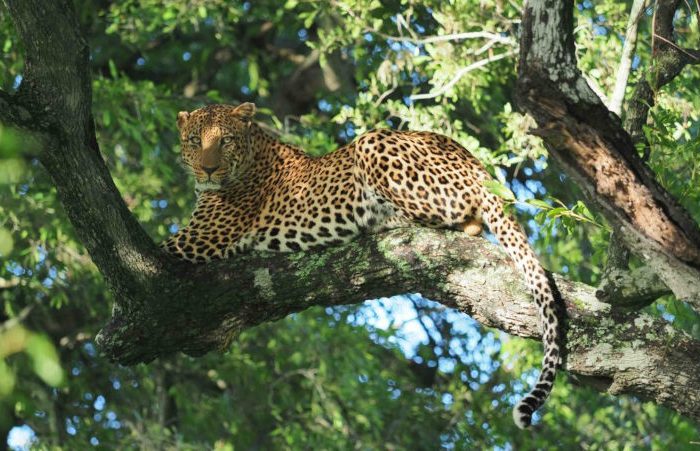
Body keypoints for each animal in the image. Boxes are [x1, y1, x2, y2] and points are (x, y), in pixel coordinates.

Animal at [163, 103, 556, 430]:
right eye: (195, 140)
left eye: (225, 140)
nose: (208, 169)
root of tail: (474, 162)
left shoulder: (197, 239)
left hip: (372, 142)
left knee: (462, 220)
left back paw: (381, 218)